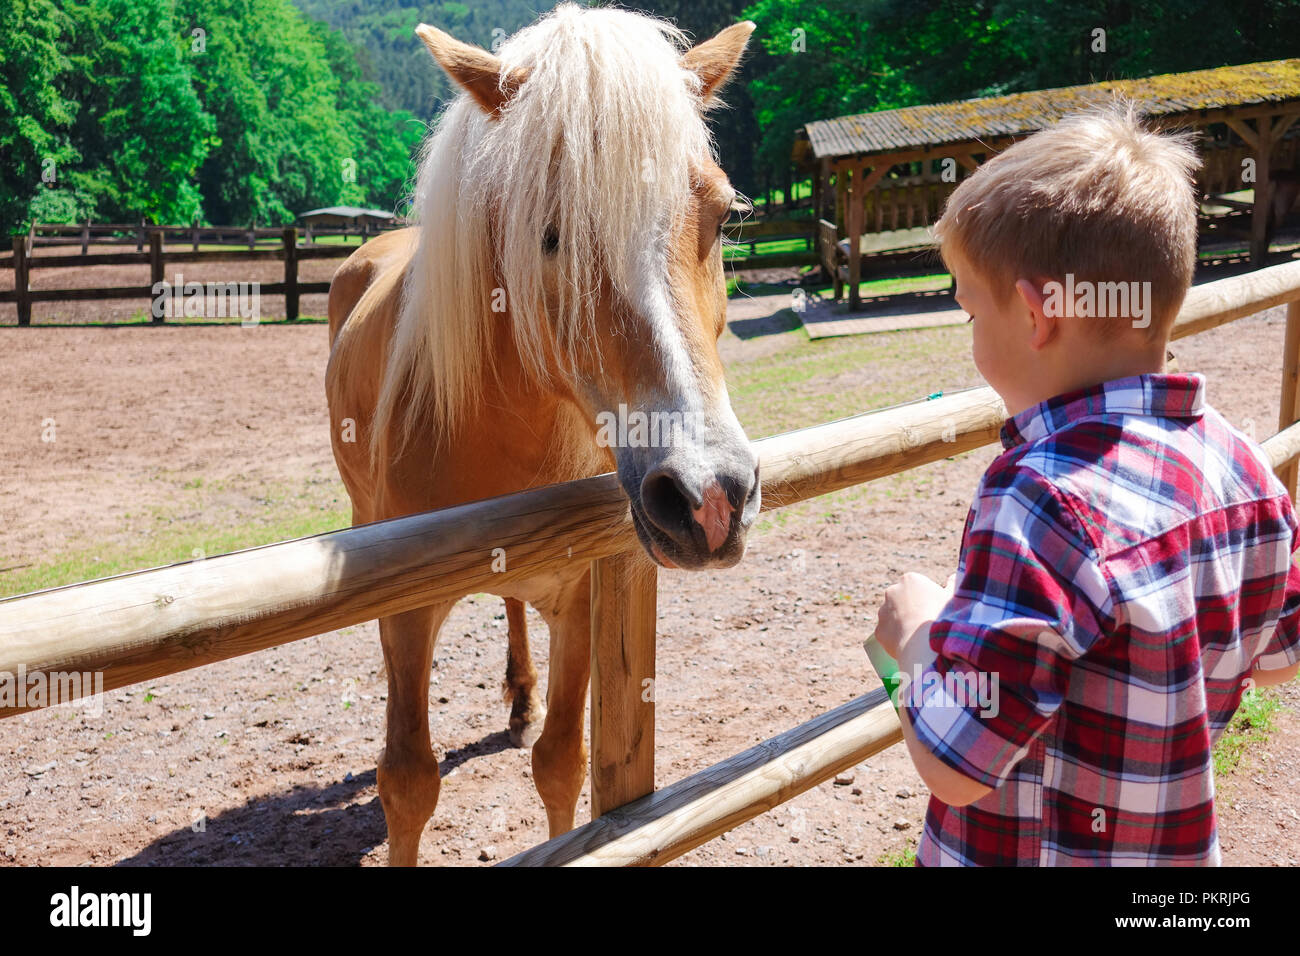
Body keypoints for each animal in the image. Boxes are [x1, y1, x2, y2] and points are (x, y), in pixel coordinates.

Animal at [323, 1, 759, 868]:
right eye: (548, 234)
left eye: (724, 215)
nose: (709, 498)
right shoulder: (407, 617)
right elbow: (408, 783)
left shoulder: (580, 599)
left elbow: (562, 763)